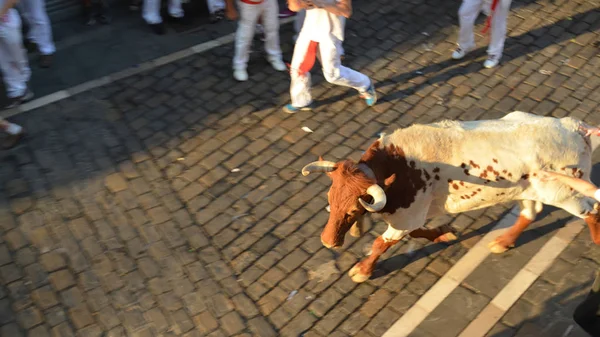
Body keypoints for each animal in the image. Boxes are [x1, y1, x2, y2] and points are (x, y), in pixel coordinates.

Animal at [302, 111, 600, 280]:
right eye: (330, 199)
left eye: (352, 210)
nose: (327, 241)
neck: (396, 167)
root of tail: (576, 127)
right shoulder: (410, 216)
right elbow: (418, 232)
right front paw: (443, 233)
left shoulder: (406, 217)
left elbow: (380, 244)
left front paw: (363, 271)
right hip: (530, 189)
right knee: (530, 213)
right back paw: (504, 241)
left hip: (566, 194)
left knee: (592, 209)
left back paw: (596, 240)